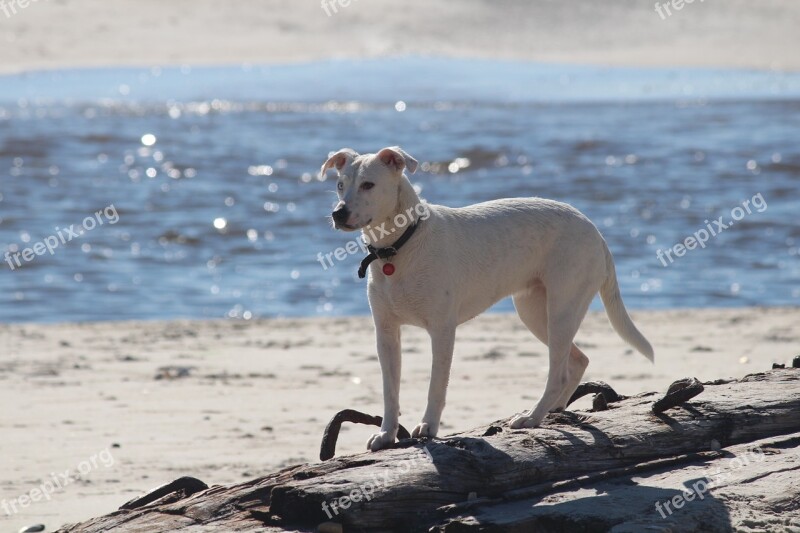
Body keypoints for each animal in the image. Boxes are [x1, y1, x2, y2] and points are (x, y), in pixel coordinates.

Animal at [322, 144, 652, 448]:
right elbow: (390, 390)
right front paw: (387, 434)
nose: (338, 213)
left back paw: (532, 417)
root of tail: (595, 231)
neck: (399, 245)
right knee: (578, 360)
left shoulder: (442, 330)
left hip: (562, 307)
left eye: (368, 184)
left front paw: (428, 427)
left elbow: (436, 386)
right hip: (534, 311)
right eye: (340, 185)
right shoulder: (386, 333)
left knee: (558, 370)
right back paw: (554, 407)